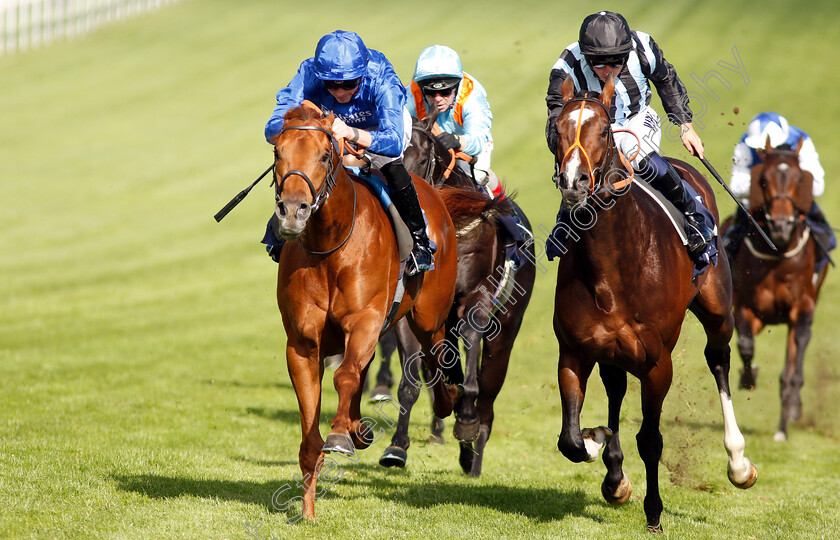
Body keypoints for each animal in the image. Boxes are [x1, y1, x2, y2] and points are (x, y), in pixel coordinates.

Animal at [270, 105, 492, 520]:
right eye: (278, 153)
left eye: (324, 155)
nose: (292, 212)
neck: (330, 247)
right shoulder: (303, 344)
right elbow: (313, 423)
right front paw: (307, 507)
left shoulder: (367, 321)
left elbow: (345, 376)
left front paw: (340, 435)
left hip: (426, 314)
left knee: (437, 353)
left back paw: (453, 403)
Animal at [376, 112, 536, 474]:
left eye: (423, 157)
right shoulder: (411, 311)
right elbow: (411, 382)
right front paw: (397, 446)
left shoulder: (476, 297)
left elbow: (471, 360)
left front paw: (465, 420)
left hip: (507, 325)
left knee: (488, 389)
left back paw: (473, 451)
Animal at [552, 76, 756, 532]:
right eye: (556, 130)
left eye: (603, 131)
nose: (575, 182)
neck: (611, 267)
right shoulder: (573, 351)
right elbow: (570, 439)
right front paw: (597, 443)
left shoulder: (657, 362)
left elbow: (650, 439)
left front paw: (654, 513)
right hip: (611, 352)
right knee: (615, 389)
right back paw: (614, 475)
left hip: (718, 309)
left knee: (718, 359)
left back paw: (738, 462)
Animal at [728, 140, 828, 442]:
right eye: (763, 179)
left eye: (800, 179)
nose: (781, 226)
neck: (778, 254)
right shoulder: (747, 307)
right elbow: (745, 344)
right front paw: (748, 378)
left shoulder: (802, 306)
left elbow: (797, 356)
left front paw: (793, 402)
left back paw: (785, 423)